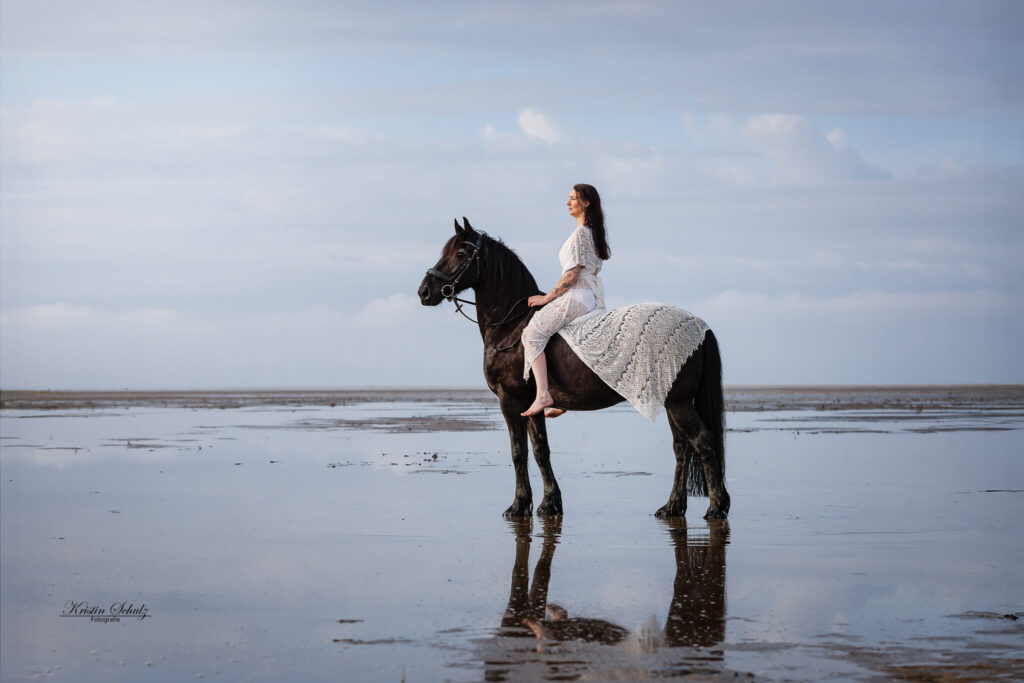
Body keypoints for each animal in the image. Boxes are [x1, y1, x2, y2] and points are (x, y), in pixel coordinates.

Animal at [418, 218, 729, 520]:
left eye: (460, 253)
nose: (424, 291)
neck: (511, 326)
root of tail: (699, 326)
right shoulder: (530, 406)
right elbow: (540, 450)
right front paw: (549, 503)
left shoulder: (510, 401)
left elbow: (518, 452)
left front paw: (518, 505)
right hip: (671, 402)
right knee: (682, 448)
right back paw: (672, 507)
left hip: (678, 403)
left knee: (702, 442)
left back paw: (716, 508)